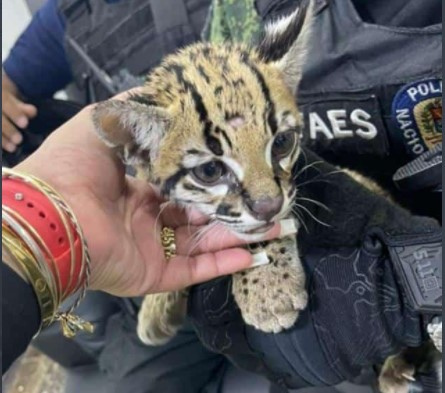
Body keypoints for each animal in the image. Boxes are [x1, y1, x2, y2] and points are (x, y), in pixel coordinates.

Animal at [90, 2, 430, 388]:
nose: (270, 205)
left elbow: (263, 228)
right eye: (210, 171)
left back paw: (396, 366)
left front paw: (269, 289)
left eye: (281, 142)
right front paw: (154, 305)